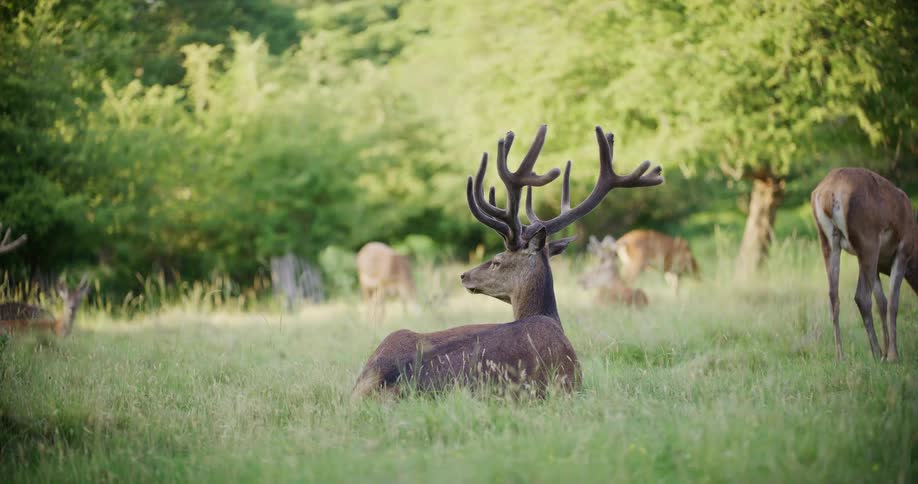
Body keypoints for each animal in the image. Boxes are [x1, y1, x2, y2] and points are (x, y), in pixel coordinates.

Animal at [811, 167, 918, 362]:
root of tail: (828, 194)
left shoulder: (877, 266)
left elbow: (882, 302)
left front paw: (887, 349)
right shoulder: (903, 250)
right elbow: (892, 303)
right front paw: (892, 355)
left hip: (827, 241)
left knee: (833, 296)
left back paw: (840, 357)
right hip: (868, 240)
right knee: (861, 296)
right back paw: (876, 353)